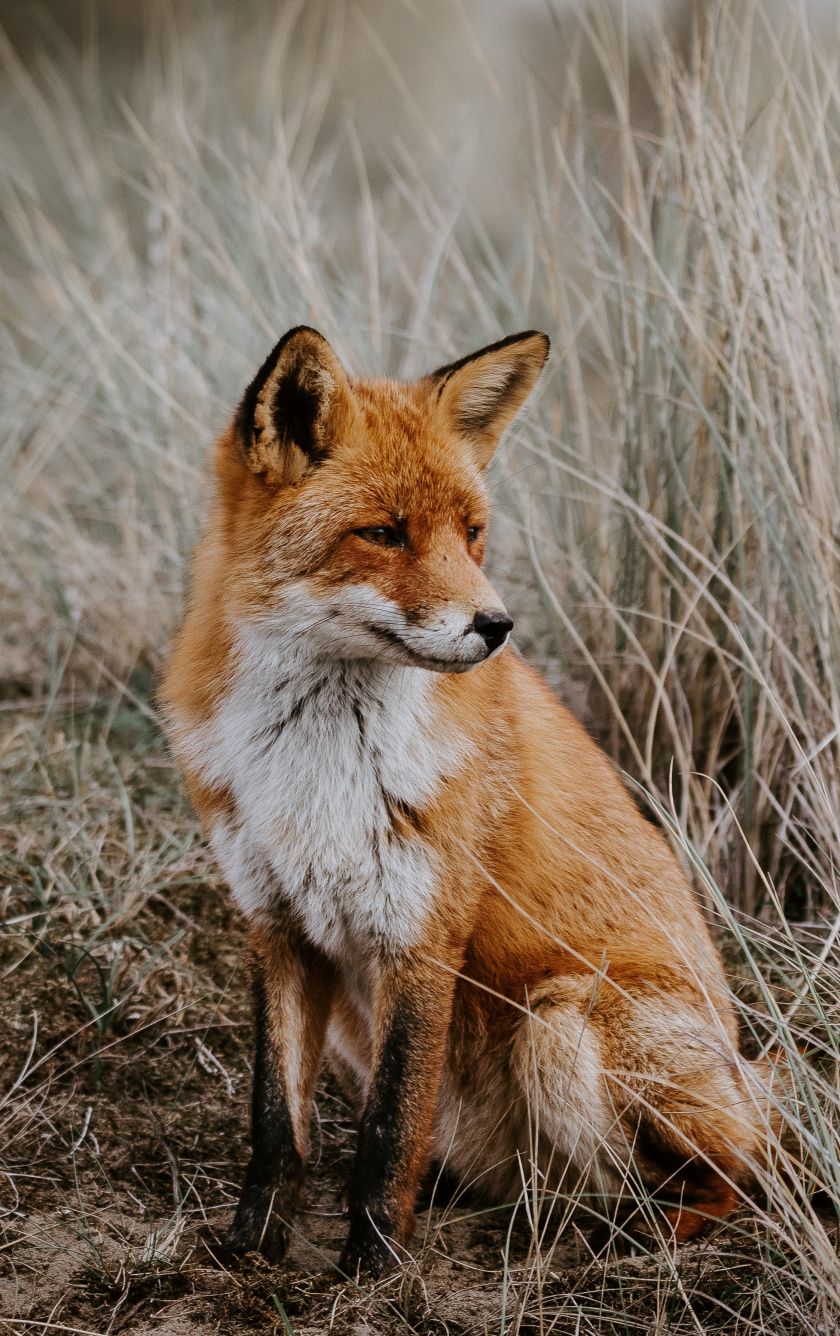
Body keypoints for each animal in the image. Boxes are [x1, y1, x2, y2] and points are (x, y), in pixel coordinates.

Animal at [161, 324, 767, 1278]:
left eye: (471, 534)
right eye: (382, 533)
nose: (497, 627)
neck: (317, 767)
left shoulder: (422, 934)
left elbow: (387, 1128)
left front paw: (373, 1271)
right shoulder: (276, 926)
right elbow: (276, 1126)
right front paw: (251, 1252)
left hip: (563, 1023)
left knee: (735, 1178)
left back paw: (626, 1242)